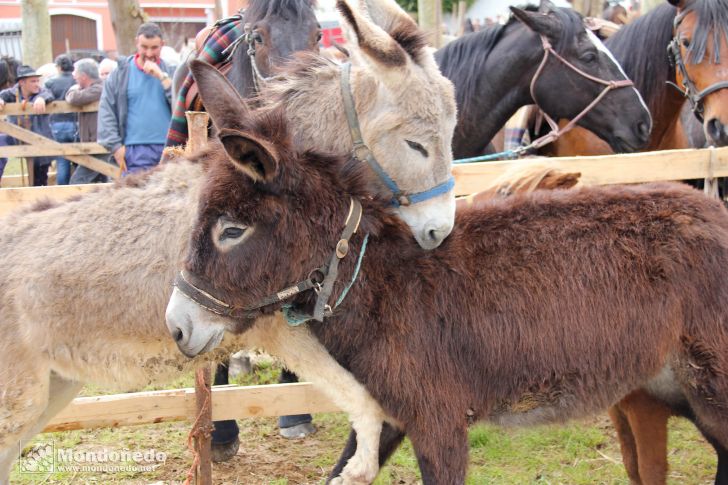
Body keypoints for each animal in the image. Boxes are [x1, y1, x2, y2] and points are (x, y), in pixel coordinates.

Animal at [168, 80, 728, 484]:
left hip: (711, 383)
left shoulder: (439, 423)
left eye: (232, 231)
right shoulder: (391, 414)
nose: (176, 327)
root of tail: (713, 210)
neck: (381, 284)